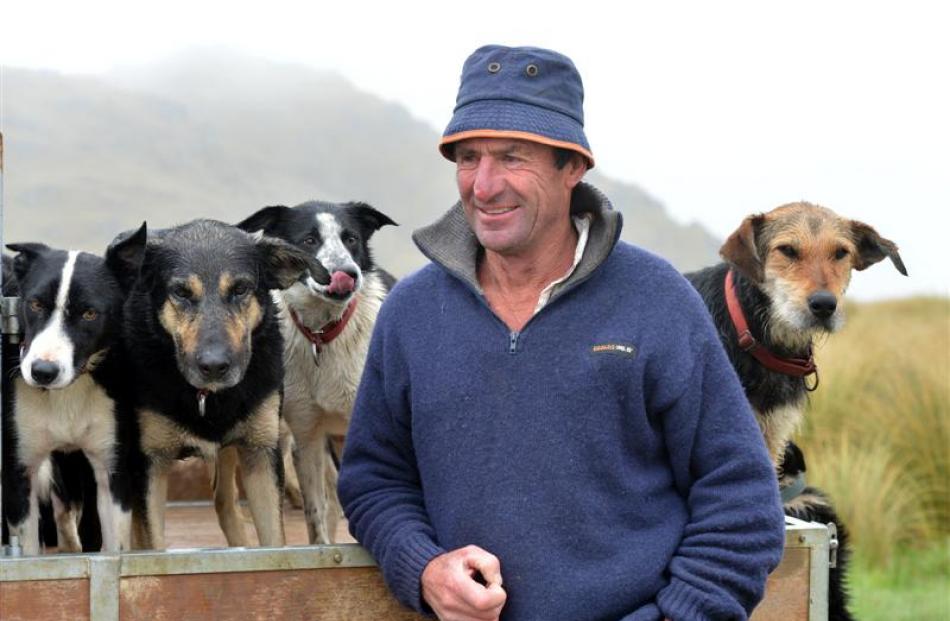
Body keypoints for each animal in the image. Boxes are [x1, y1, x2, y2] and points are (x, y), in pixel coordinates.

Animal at [1, 226, 147, 552]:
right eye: (35, 304)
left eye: (89, 314)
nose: (42, 372)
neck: (66, 391)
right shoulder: (19, 472)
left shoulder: (112, 469)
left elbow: (114, 549)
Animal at [119, 219, 318, 548]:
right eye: (181, 292)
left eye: (240, 289)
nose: (214, 366)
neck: (207, 398)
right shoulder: (149, 465)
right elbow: (151, 543)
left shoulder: (260, 453)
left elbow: (274, 542)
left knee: (225, 504)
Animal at [242, 200, 402, 544]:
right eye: (309, 240)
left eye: (351, 238)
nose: (348, 274)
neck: (323, 334)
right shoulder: (307, 436)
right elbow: (316, 516)